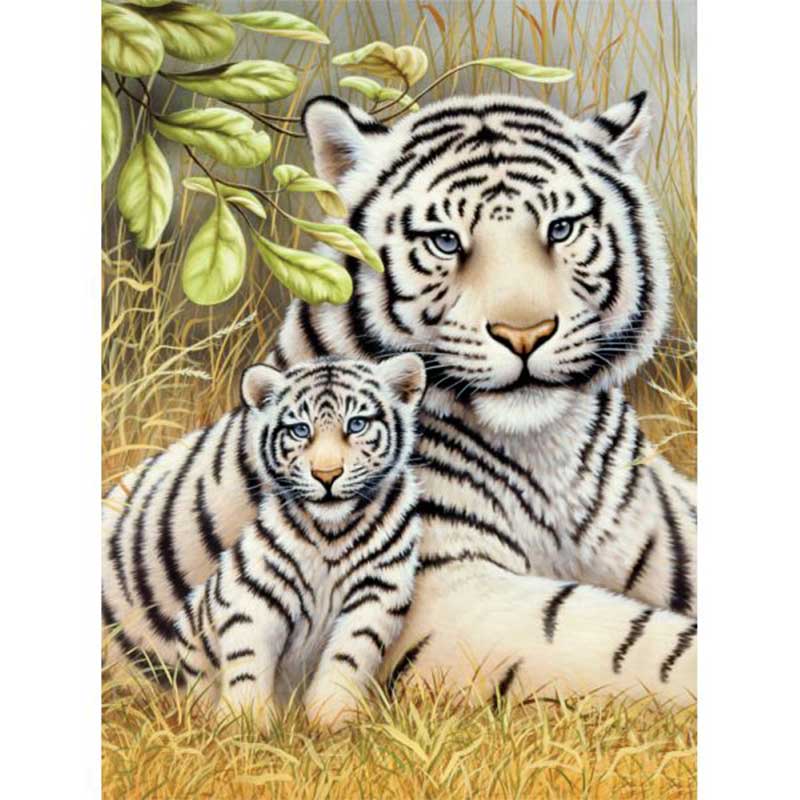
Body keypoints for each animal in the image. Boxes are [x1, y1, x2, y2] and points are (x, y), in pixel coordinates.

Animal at [101, 353, 425, 703]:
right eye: (300, 430)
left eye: (357, 424)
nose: (326, 475)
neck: (332, 533)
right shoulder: (252, 596)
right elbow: (248, 668)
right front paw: (245, 716)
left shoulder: (377, 592)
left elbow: (347, 660)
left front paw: (333, 714)